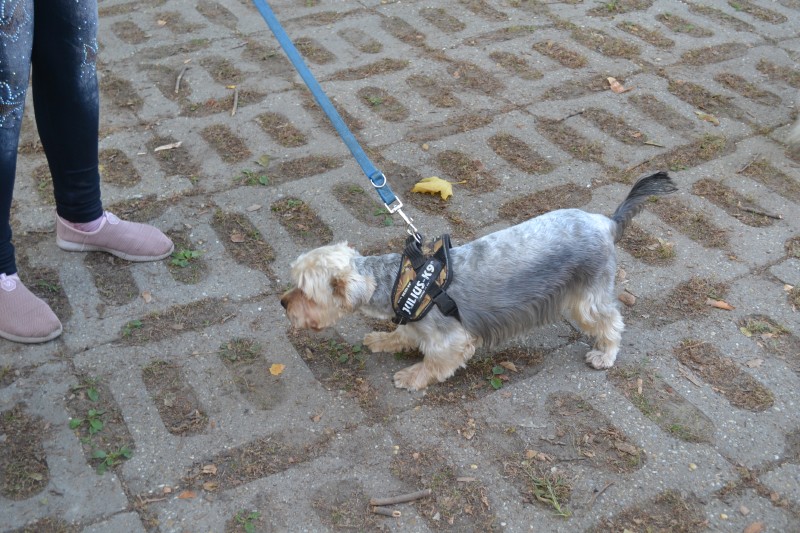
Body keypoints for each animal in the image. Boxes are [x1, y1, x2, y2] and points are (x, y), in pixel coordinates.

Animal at [281, 172, 677, 391]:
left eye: (305, 292)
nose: (283, 302)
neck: (398, 281)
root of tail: (606, 222)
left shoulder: (452, 339)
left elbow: (436, 362)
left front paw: (412, 376)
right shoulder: (414, 321)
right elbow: (404, 333)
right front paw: (384, 340)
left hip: (587, 295)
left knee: (610, 321)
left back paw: (604, 355)